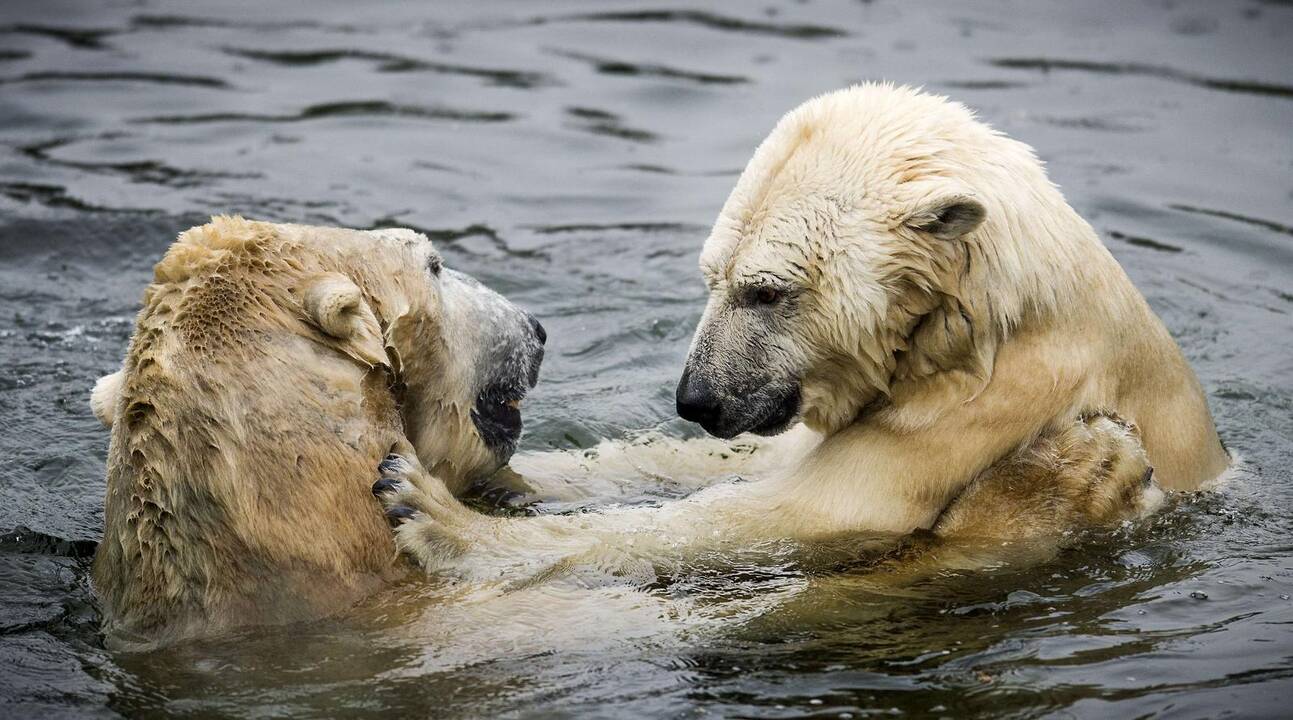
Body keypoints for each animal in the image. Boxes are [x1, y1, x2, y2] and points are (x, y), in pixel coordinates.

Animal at [372, 82, 1220, 579]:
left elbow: (803, 513)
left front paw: (435, 514)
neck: (986, 324)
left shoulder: (990, 405)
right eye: (710, 277)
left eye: (765, 291)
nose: (695, 399)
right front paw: (508, 473)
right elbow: (733, 464)